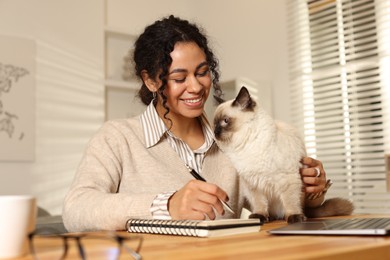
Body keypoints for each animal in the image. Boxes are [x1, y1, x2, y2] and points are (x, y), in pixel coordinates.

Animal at [213, 86, 354, 222]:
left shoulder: (287, 179)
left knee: (299, 208)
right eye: (214, 124)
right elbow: (260, 204)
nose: (215, 132)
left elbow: (290, 202)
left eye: (225, 121)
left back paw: (295, 216)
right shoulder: (253, 184)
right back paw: (270, 218)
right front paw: (260, 216)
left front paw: (294, 217)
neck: (246, 146)